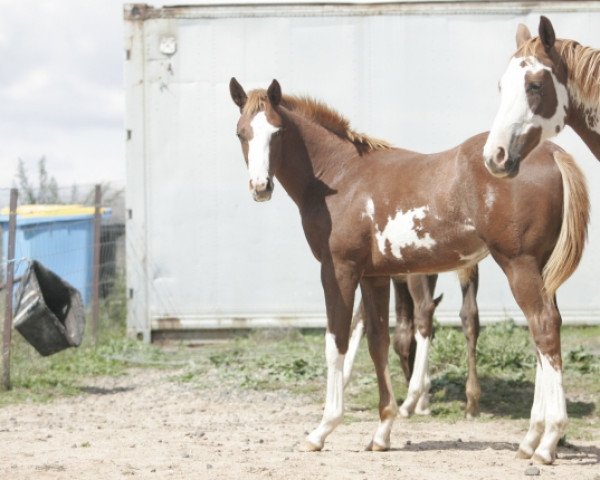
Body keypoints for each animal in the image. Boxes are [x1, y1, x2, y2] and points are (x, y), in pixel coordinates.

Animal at [231, 79, 592, 464]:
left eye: (278, 131)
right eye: (241, 132)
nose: (261, 187)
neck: (341, 175)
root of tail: (551, 152)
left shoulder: (338, 270)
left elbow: (336, 342)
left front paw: (321, 430)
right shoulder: (374, 276)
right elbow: (379, 342)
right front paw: (382, 431)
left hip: (518, 263)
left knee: (543, 327)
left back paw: (548, 441)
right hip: (541, 268)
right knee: (545, 329)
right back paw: (531, 439)